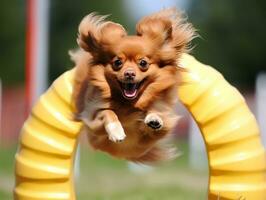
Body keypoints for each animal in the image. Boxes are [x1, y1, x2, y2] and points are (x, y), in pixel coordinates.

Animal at [70, 8, 195, 164]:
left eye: (143, 63)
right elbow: (107, 112)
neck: (128, 104)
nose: (129, 73)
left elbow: (154, 110)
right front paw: (116, 131)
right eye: (117, 62)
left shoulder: (153, 131)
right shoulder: (93, 118)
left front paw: (154, 118)